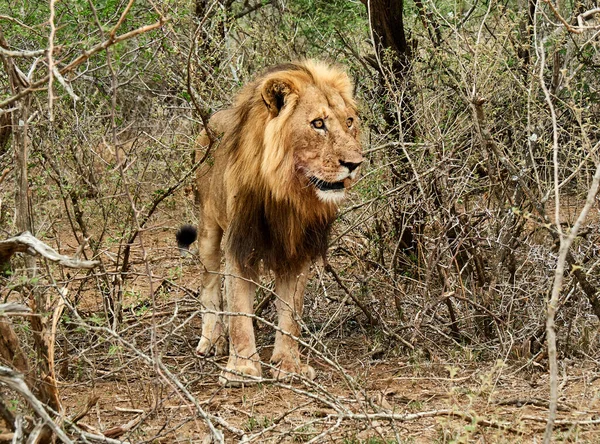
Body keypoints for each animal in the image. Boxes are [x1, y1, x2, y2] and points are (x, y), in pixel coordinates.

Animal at [183, 59, 364, 386]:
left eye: (349, 122)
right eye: (318, 124)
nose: (355, 164)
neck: (287, 193)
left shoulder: (300, 250)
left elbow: (291, 313)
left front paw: (289, 365)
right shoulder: (240, 243)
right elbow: (239, 310)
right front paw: (242, 369)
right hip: (208, 226)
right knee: (210, 285)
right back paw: (211, 340)